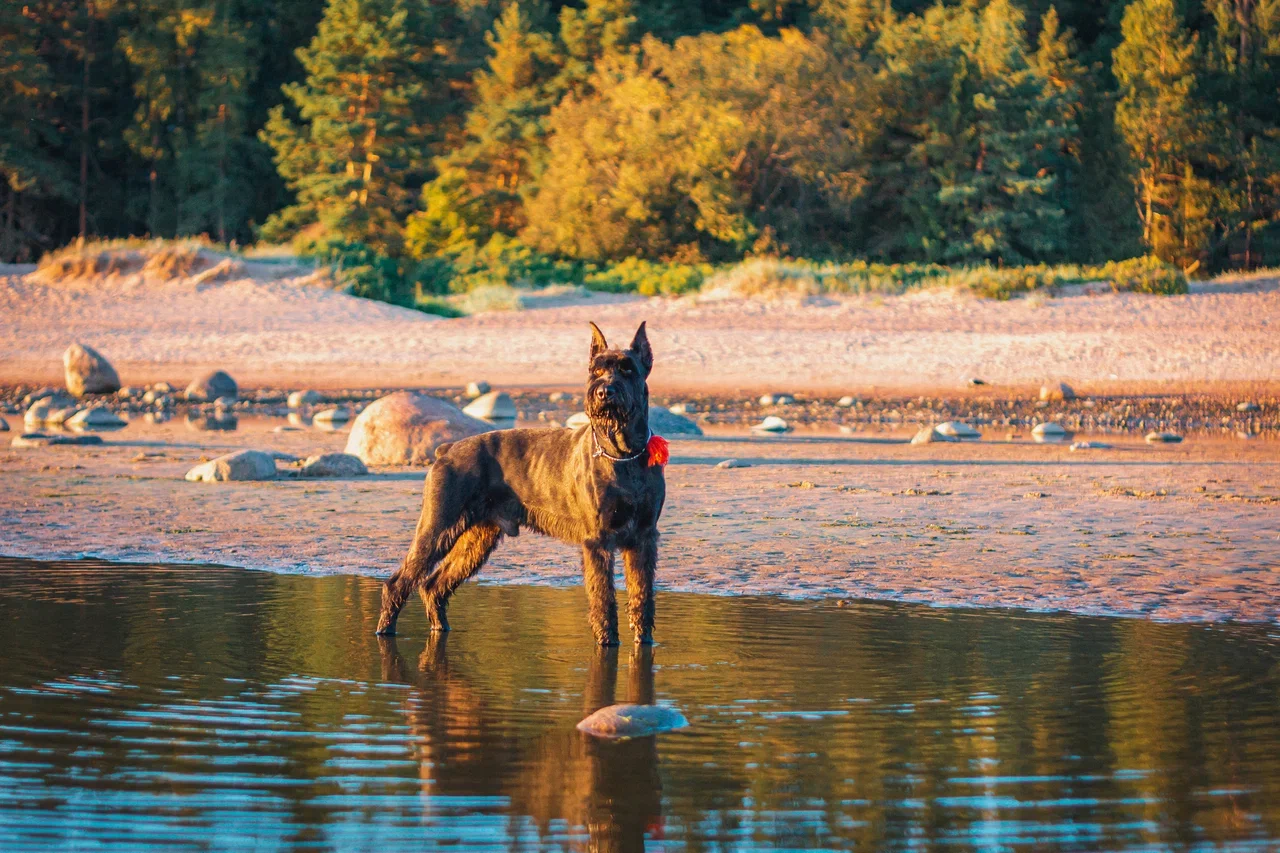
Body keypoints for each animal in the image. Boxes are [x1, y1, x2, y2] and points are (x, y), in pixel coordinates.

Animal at [373, 322, 665, 640]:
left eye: (627, 369)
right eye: (596, 370)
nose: (603, 392)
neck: (623, 455)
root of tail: (446, 450)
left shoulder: (644, 538)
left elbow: (642, 595)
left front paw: (644, 640)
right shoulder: (598, 541)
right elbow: (603, 598)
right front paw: (607, 641)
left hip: (476, 540)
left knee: (433, 585)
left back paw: (440, 627)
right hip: (436, 529)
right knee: (399, 583)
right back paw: (384, 631)